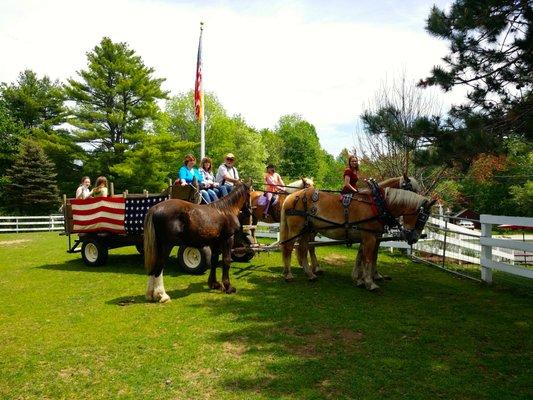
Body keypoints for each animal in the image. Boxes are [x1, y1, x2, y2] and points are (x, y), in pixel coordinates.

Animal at [278, 186, 432, 290]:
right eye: (422, 217)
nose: (414, 238)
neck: (377, 205)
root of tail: (292, 196)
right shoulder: (369, 237)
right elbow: (368, 258)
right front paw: (369, 283)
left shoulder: (368, 237)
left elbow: (362, 257)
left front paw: (360, 279)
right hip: (296, 230)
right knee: (289, 247)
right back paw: (288, 275)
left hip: (306, 231)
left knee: (303, 249)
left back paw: (310, 274)